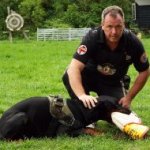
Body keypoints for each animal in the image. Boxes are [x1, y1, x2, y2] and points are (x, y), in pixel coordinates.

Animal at [0, 95, 130, 140]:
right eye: (116, 104)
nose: (129, 111)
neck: (82, 109)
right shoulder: (63, 132)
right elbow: (88, 130)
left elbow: (90, 128)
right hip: (22, 116)